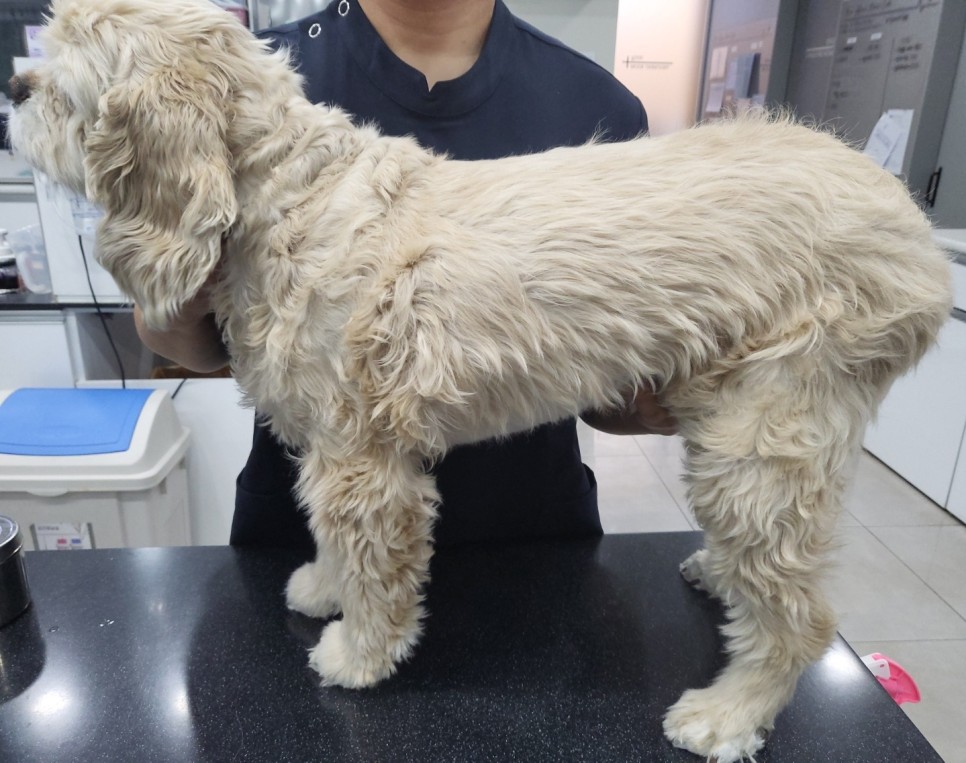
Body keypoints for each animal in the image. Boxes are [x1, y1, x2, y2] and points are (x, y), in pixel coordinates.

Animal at [8, 1, 953, 759]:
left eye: (64, 86)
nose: (15, 85)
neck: (287, 188)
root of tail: (912, 225)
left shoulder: (363, 459)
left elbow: (376, 568)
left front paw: (360, 652)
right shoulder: (328, 443)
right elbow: (329, 538)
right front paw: (324, 586)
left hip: (766, 428)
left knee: (804, 613)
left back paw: (729, 711)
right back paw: (720, 578)